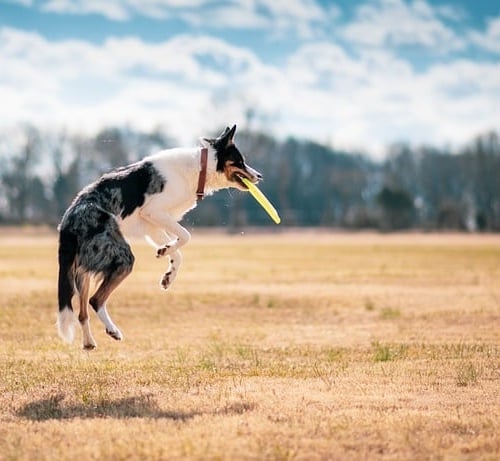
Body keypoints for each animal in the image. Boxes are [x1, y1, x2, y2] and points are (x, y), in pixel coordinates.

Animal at [57, 124, 262, 346]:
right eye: (240, 161)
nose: (260, 176)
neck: (199, 168)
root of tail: (68, 222)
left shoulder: (153, 225)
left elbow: (177, 252)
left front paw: (168, 270)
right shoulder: (154, 212)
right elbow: (186, 236)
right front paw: (167, 252)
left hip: (84, 271)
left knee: (82, 312)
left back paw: (89, 342)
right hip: (122, 257)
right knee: (95, 300)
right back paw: (113, 330)